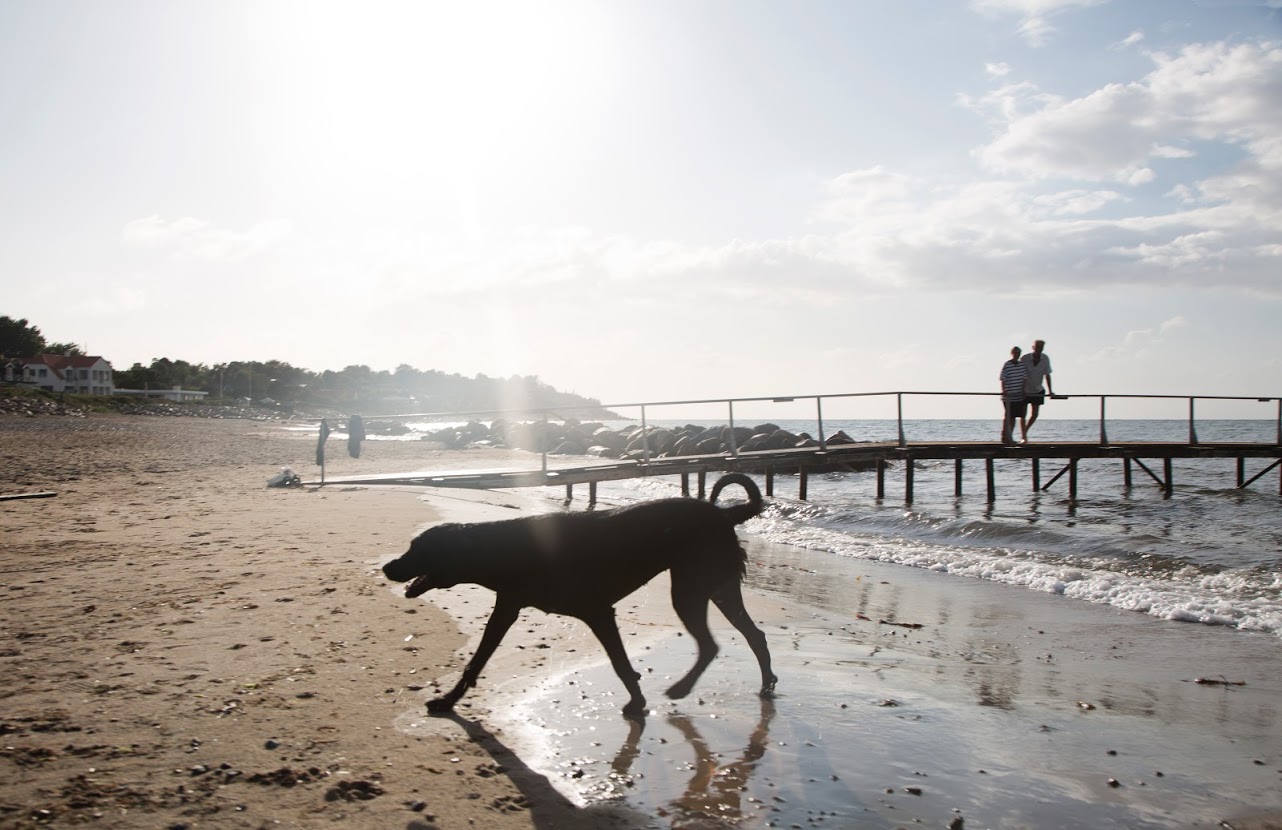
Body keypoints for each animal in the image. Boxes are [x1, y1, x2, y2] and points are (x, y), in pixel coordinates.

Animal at [379, 474, 774, 718]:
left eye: (418, 549)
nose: (387, 567)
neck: (500, 548)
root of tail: (726, 513)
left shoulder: (598, 612)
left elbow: (621, 665)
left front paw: (637, 702)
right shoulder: (507, 607)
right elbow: (476, 661)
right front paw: (449, 700)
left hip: (690, 589)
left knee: (710, 645)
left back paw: (681, 689)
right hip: (718, 588)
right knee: (754, 635)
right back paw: (767, 684)